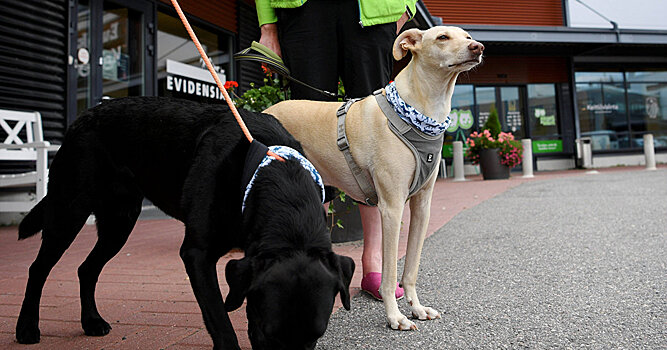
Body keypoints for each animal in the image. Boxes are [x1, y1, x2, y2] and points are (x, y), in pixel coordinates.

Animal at [14, 97, 354, 350]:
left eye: (316, 337)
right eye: (269, 333)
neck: (270, 167)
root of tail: (81, 118)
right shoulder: (197, 254)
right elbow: (219, 319)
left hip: (119, 224)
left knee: (87, 268)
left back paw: (91, 322)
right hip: (69, 211)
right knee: (38, 268)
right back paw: (27, 327)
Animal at [264, 26, 482, 330]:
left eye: (467, 36)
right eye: (442, 38)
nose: (479, 48)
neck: (420, 112)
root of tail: (262, 112)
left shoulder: (422, 207)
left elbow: (411, 268)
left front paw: (417, 308)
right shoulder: (391, 208)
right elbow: (389, 274)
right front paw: (395, 316)